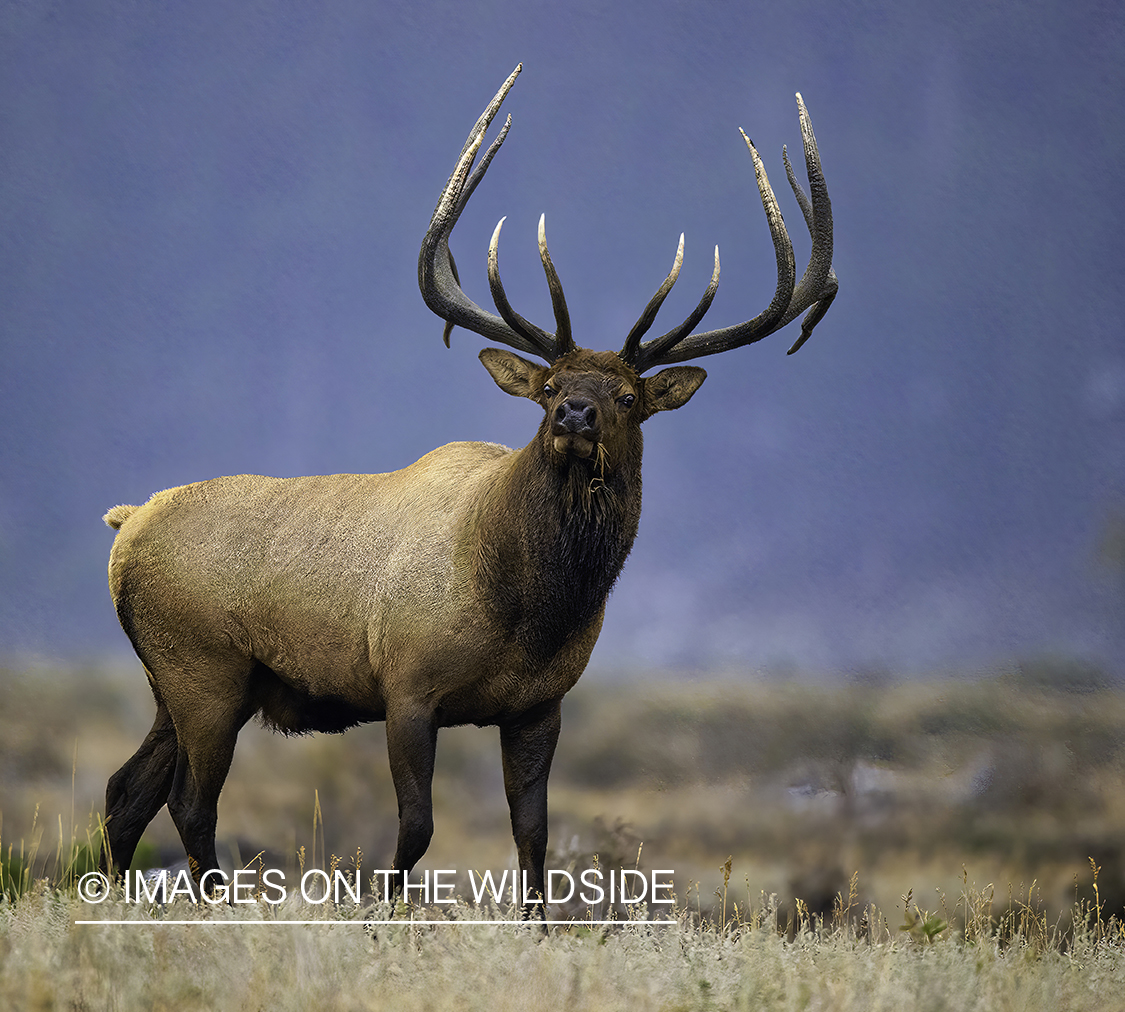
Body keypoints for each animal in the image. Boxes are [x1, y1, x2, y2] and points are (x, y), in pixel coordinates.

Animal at [99, 67, 837, 913]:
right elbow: (417, 828)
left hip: (179, 683)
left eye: (626, 397)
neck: (530, 606)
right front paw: (383, 914)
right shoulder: (407, 688)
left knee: (125, 794)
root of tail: (125, 524)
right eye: (548, 385)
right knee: (188, 802)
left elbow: (533, 834)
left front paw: (539, 927)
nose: (574, 413)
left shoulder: (540, 705)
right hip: (204, 673)